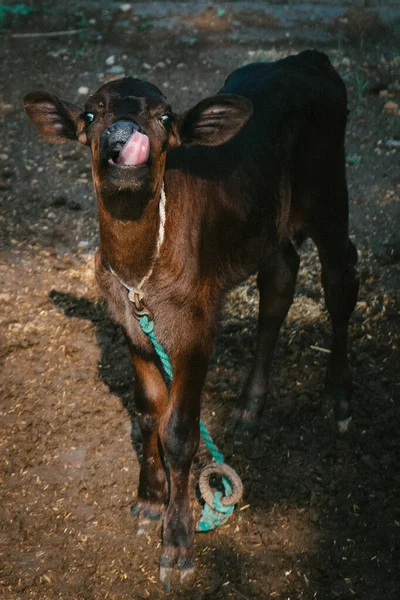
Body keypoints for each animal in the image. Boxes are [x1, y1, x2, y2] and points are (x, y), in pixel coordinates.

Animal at [25, 50, 360, 584]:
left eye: (164, 117)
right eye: (92, 114)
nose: (123, 135)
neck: (140, 270)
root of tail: (306, 57)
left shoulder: (197, 328)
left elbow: (180, 431)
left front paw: (178, 543)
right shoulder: (132, 326)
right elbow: (147, 414)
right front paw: (149, 500)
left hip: (329, 192)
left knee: (340, 277)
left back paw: (338, 396)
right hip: (267, 220)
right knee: (280, 278)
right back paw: (249, 407)